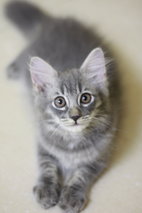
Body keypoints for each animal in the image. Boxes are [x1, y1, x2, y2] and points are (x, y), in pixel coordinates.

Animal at [5, 1, 120, 213]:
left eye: (85, 98)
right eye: (60, 102)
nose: (75, 116)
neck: (72, 143)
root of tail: (54, 22)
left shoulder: (100, 156)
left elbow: (82, 175)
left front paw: (72, 196)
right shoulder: (43, 145)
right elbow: (47, 167)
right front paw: (46, 190)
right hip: (32, 49)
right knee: (25, 53)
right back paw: (14, 68)